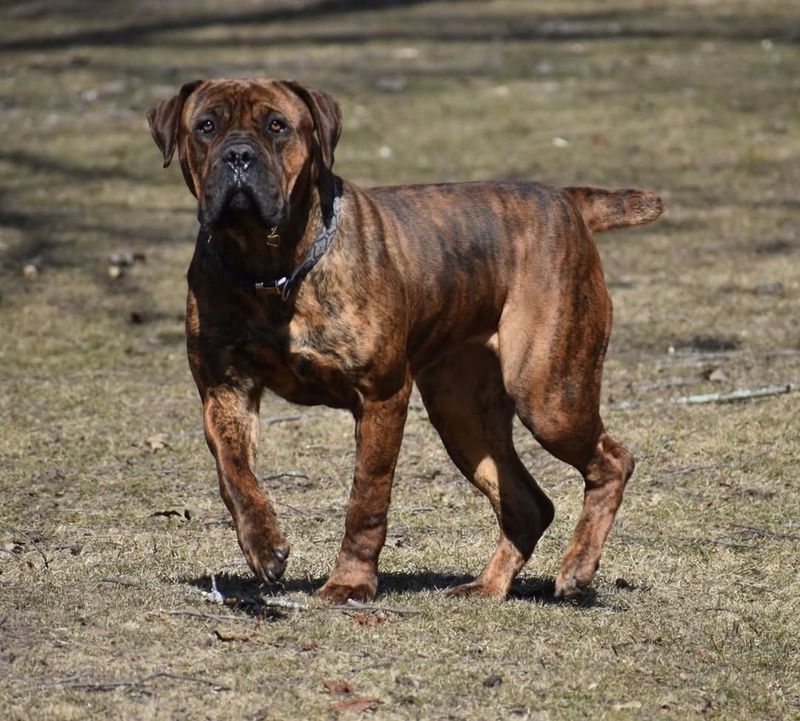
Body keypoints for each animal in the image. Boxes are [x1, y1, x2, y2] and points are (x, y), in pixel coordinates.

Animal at [145, 77, 664, 600]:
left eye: (277, 126)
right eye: (205, 126)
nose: (238, 155)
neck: (269, 267)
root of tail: (566, 199)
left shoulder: (381, 396)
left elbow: (367, 496)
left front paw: (350, 583)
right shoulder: (225, 391)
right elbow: (234, 474)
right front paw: (263, 545)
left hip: (549, 395)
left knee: (613, 461)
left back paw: (577, 566)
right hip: (461, 413)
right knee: (528, 504)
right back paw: (486, 587)